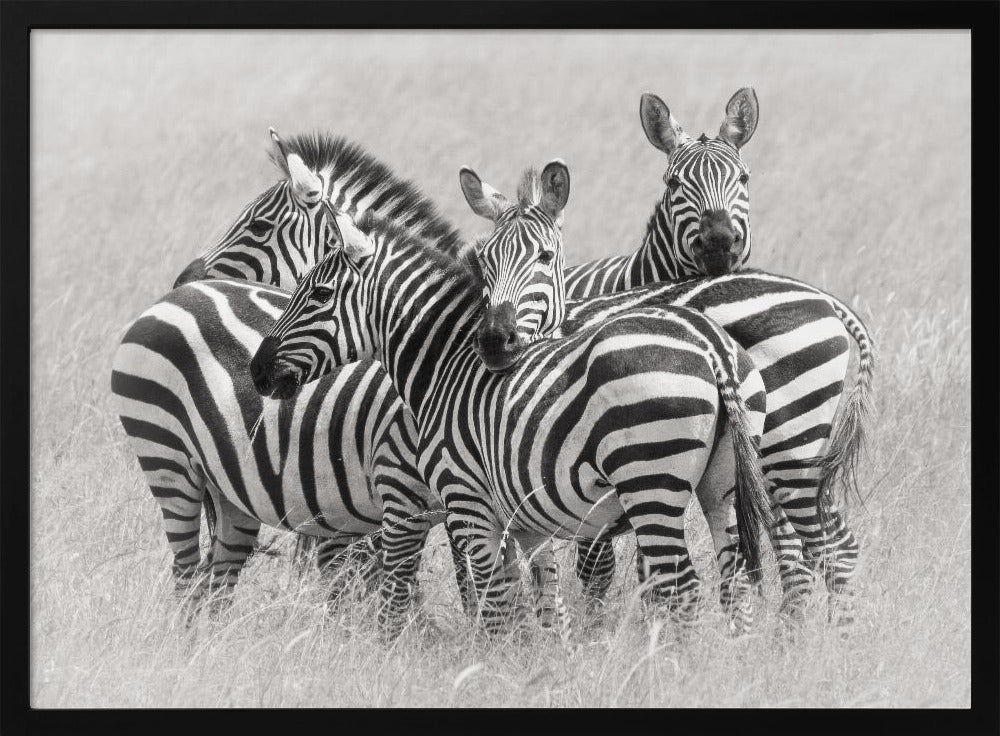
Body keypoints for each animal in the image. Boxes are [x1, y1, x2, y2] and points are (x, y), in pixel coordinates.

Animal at [249, 205, 773, 635]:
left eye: (318, 294)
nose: (256, 371)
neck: (446, 366)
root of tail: (711, 345)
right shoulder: (525, 520)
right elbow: (541, 606)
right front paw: (543, 669)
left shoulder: (468, 504)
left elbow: (496, 606)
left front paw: (494, 670)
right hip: (721, 488)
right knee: (734, 585)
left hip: (650, 483)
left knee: (682, 590)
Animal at [459, 91, 875, 624]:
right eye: (674, 183)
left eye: (744, 178)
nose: (719, 242)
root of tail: (825, 300)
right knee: (821, 544)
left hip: (787, 446)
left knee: (817, 545)